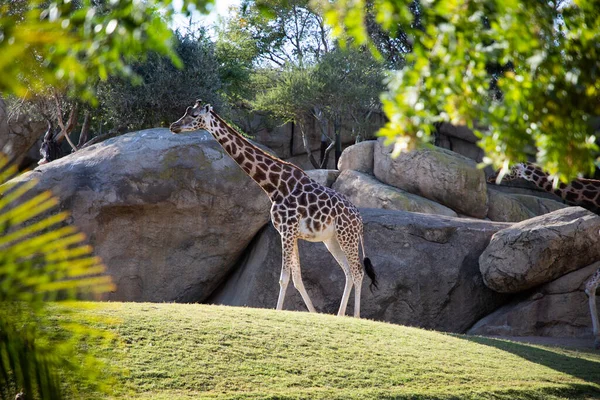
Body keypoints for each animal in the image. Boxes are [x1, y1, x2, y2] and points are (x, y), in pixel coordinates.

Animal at [169, 101, 378, 318]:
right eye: (186, 112)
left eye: (194, 115)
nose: (173, 126)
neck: (274, 186)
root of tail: (360, 220)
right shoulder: (289, 232)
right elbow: (297, 279)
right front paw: (313, 313)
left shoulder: (287, 230)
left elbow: (284, 277)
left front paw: (277, 312)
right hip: (332, 239)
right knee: (347, 271)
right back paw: (340, 315)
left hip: (347, 236)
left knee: (357, 270)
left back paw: (356, 317)